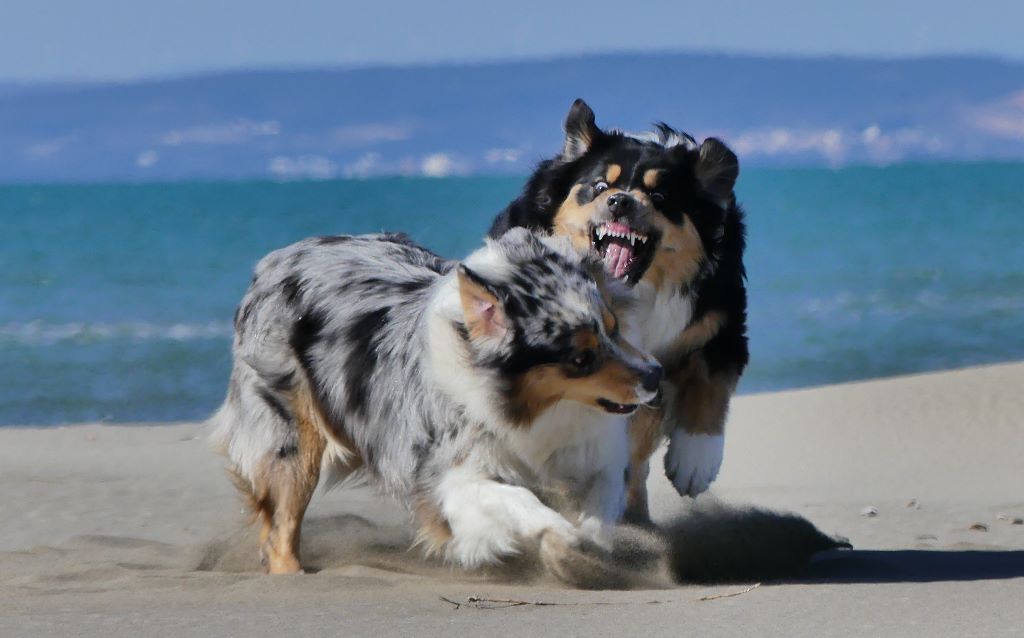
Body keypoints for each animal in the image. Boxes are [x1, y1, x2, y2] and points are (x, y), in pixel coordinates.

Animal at [491, 97, 749, 522]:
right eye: (599, 186)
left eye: (660, 198)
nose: (620, 201)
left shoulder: (720, 322)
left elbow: (709, 384)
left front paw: (695, 462)